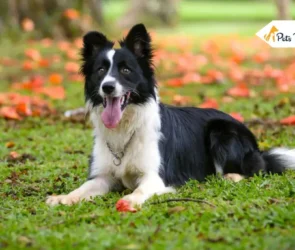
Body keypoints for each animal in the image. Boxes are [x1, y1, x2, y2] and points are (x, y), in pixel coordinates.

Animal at [46, 23, 295, 211]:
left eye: (126, 70)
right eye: (100, 70)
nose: (107, 87)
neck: (126, 127)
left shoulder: (157, 176)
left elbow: (140, 189)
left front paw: (130, 200)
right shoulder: (102, 176)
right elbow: (83, 188)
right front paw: (63, 198)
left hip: (221, 132)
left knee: (254, 169)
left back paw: (231, 176)